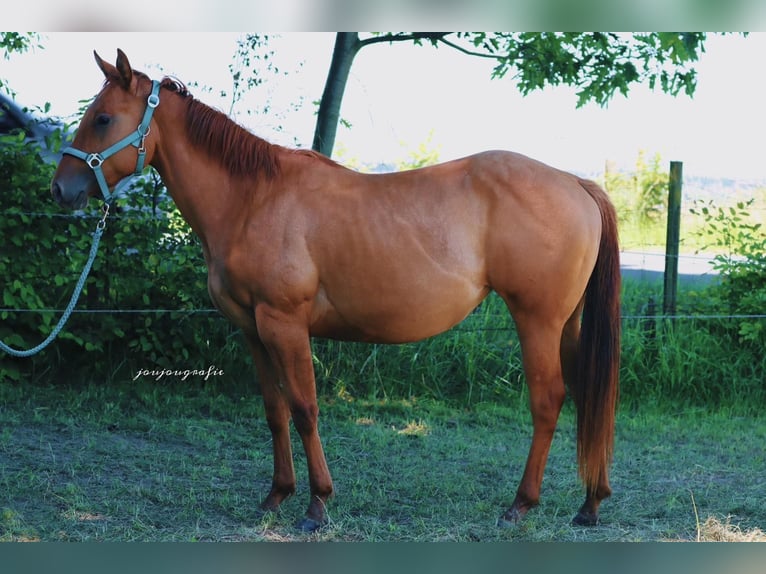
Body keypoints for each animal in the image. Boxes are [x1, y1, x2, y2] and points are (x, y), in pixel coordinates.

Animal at [49, 50, 624, 536]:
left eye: (103, 119)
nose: (61, 189)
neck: (254, 199)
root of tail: (575, 183)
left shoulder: (284, 324)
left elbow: (304, 408)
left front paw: (317, 504)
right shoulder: (252, 329)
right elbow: (274, 410)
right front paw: (277, 495)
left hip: (537, 321)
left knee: (549, 401)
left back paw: (521, 504)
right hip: (566, 325)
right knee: (587, 397)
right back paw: (589, 504)